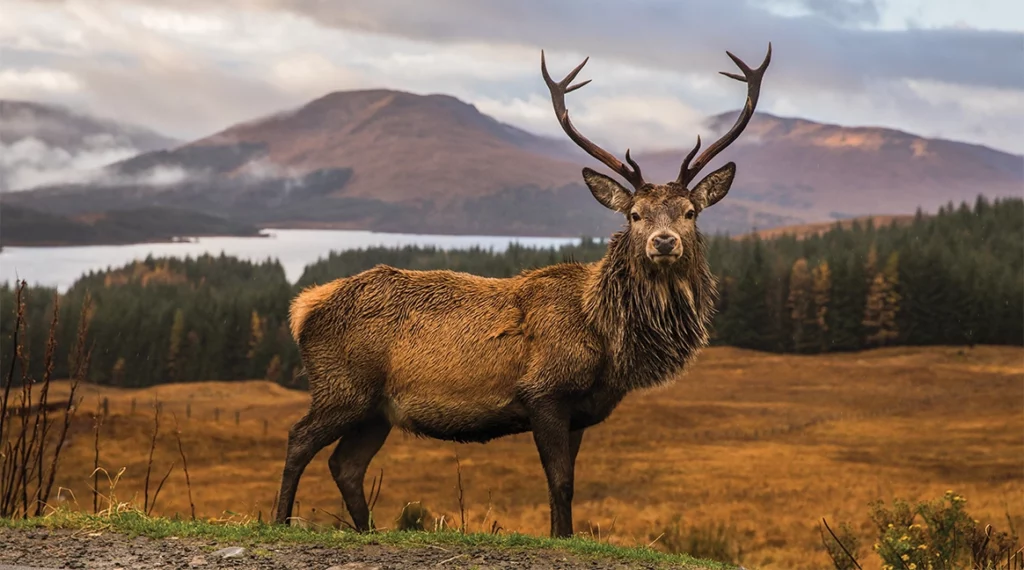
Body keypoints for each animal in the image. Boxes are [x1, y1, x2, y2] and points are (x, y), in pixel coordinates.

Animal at [275, 43, 771, 538]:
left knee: (346, 465)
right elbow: (561, 481)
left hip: (376, 410)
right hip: (342, 386)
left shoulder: (580, 411)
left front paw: (561, 533)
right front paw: (563, 535)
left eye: (690, 212)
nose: (663, 242)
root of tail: (303, 308)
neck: (606, 338)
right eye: (634, 215)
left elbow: (565, 483)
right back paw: (281, 520)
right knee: (299, 439)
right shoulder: (543, 391)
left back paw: (367, 530)